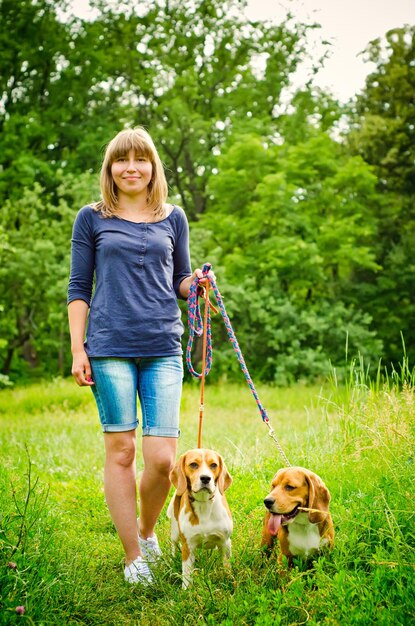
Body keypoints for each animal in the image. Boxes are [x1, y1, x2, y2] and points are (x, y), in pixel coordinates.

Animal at [168, 448, 234, 584]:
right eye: (193, 464)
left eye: (214, 465)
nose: (205, 478)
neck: (204, 504)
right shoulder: (188, 546)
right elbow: (187, 575)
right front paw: (186, 588)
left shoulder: (225, 542)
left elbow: (227, 567)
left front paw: (229, 582)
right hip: (175, 532)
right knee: (173, 546)